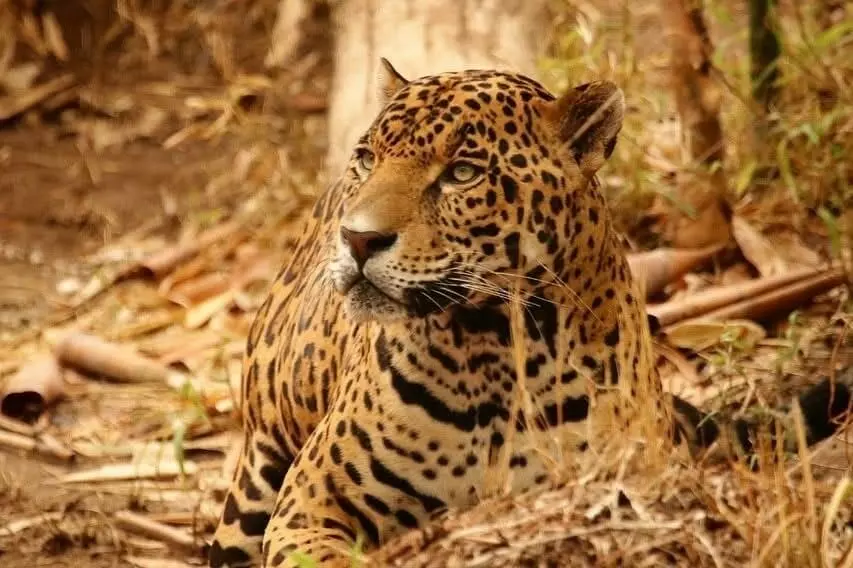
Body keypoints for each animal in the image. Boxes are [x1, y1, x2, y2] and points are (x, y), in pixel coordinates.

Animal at [209, 59, 852, 567]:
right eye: (367, 159)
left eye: (462, 173)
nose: (357, 238)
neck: (488, 346)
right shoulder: (310, 502)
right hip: (256, 476)